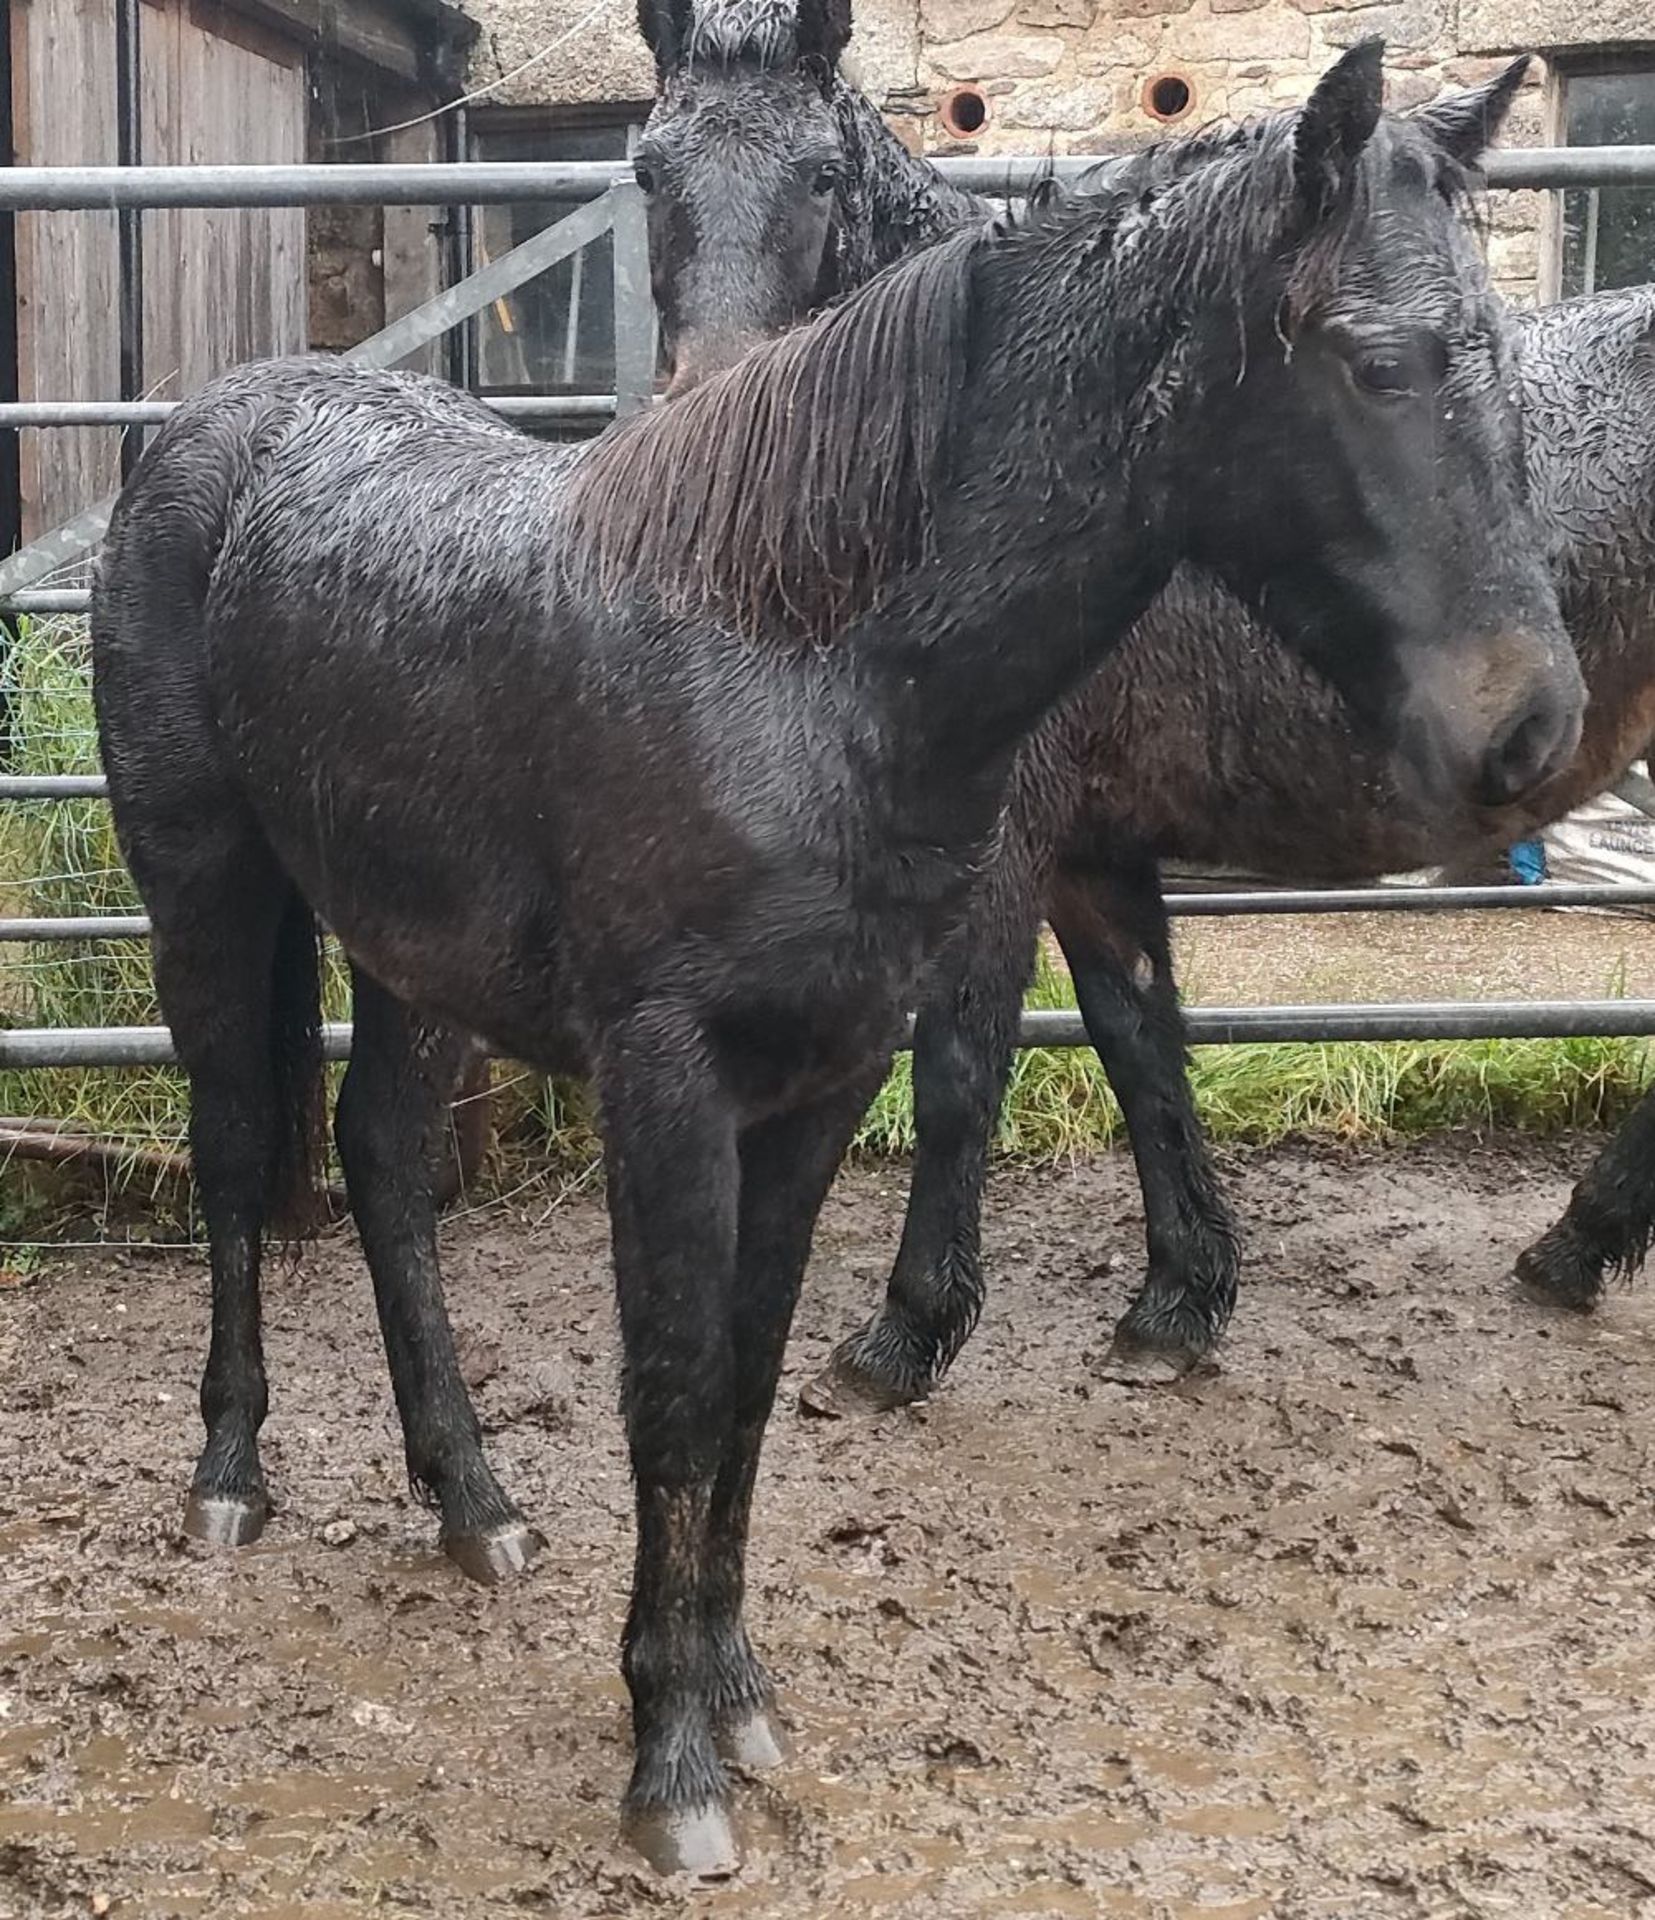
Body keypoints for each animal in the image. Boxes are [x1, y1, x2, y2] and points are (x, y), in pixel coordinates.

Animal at [641, 3, 1655, 1413]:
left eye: (822, 175)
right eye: (645, 170)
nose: (711, 409)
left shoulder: (998, 847)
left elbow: (958, 1066)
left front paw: (905, 1332)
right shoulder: (1092, 848)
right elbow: (1138, 1043)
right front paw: (1179, 1298)